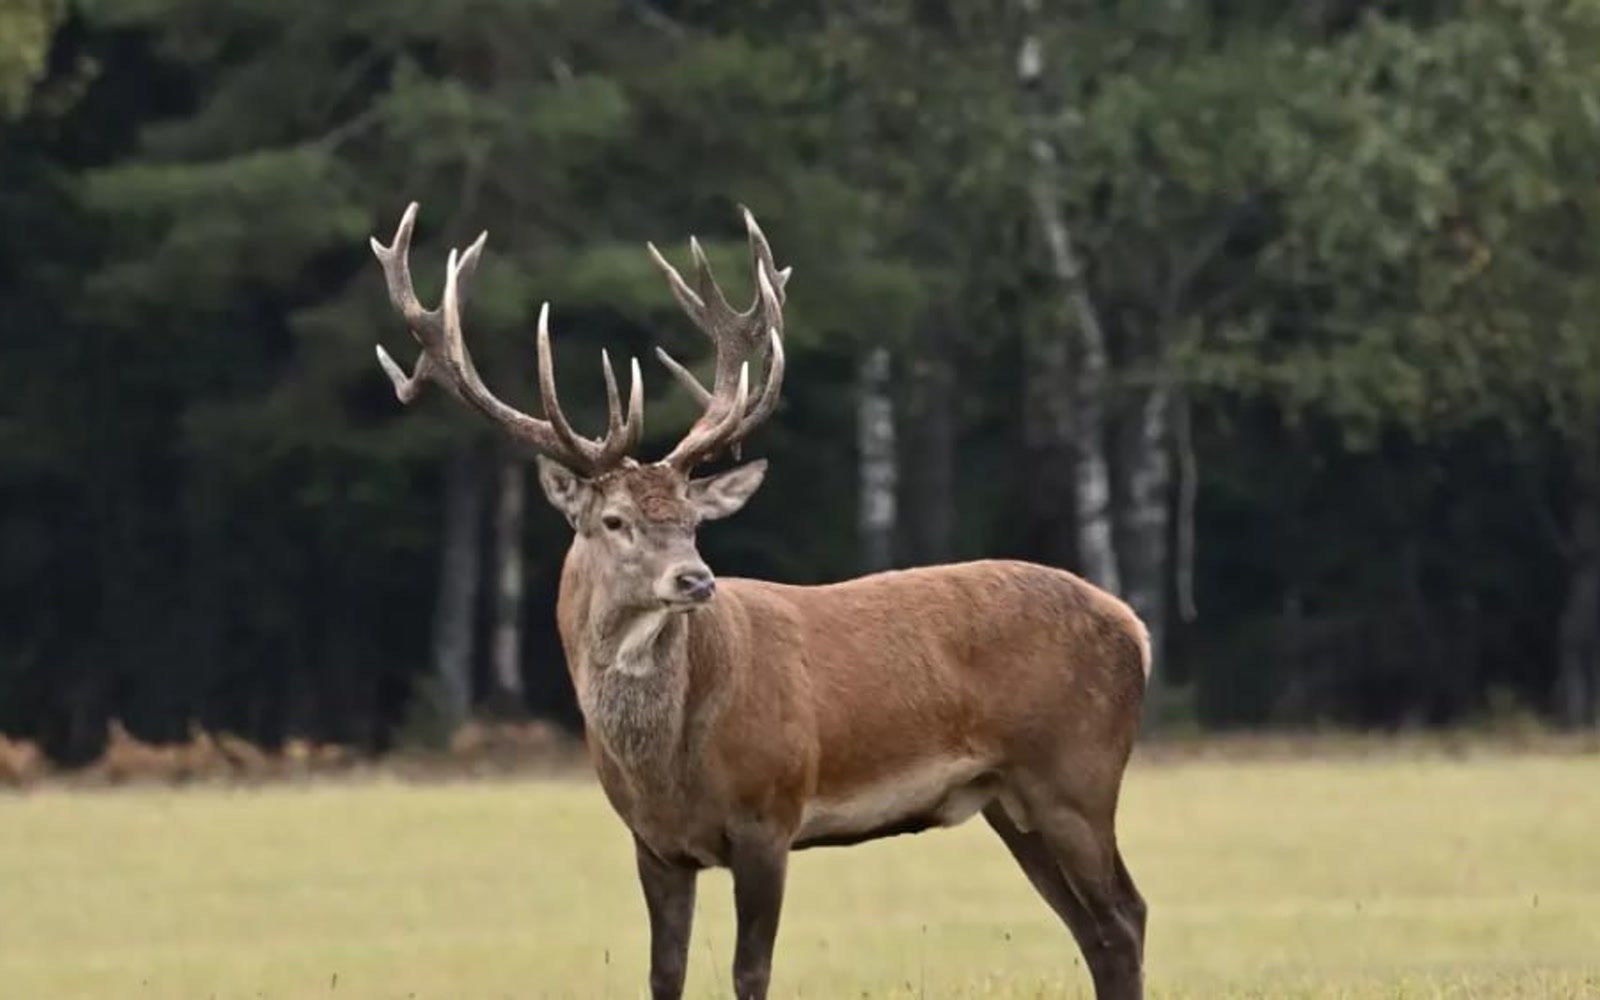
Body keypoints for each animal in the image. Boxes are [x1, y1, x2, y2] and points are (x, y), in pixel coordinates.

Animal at [369, 201, 1152, 1000]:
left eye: (692, 520)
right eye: (614, 521)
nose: (695, 579)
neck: (666, 763)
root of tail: (1134, 626)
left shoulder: (770, 812)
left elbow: (751, 971)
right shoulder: (653, 843)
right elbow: (664, 974)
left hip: (1077, 772)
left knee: (1124, 915)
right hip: (1009, 800)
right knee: (1092, 928)